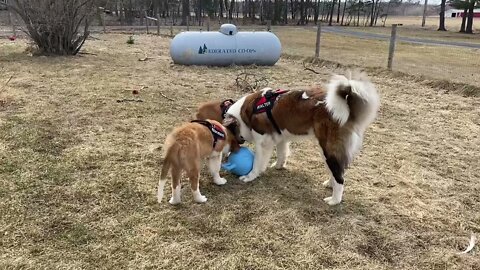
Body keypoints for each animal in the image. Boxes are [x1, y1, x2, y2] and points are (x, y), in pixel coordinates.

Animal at [223, 73, 380, 206]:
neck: (248, 111)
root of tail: (346, 105)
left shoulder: (263, 142)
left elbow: (257, 163)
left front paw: (250, 176)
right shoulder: (280, 137)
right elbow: (282, 153)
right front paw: (278, 166)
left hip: (328, 147)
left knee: (340, 176)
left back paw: (334, 200)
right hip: (326, 150)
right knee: (338, 170)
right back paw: (330, 184)